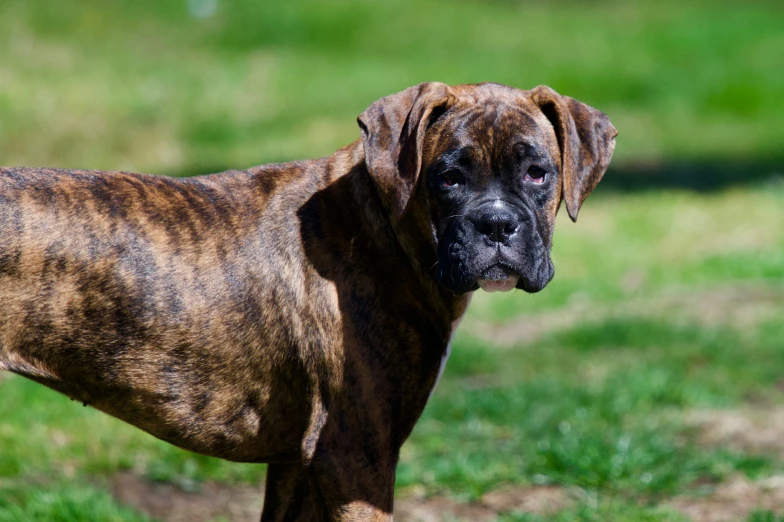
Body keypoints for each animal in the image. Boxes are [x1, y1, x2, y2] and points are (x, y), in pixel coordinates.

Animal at [0, 83, 616, 516]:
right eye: (448, 178)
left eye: (538, 173)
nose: (496, 224)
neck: (383, 225)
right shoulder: (355, 458)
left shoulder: (299, 465)